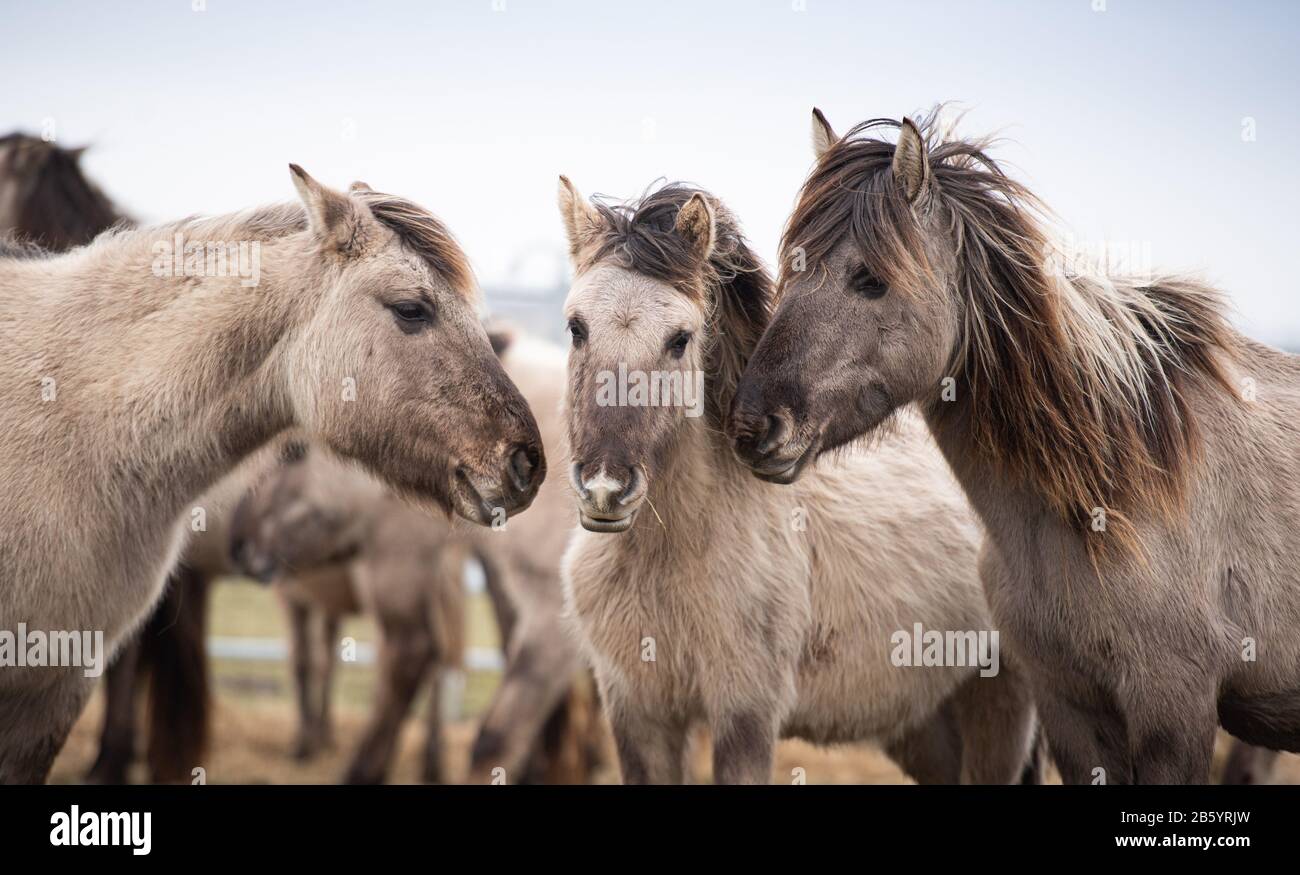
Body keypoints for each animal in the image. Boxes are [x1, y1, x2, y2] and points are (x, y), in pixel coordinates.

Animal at [559, 176, 1034, 785]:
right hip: (922, 725)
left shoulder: (745, 717)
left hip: (1002, 705)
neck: (672, 554)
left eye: (680, 339)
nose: (605, 488)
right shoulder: (638, 714)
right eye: (577, 328)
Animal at [728, 105, 1300, 780]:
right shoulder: (1068, 709)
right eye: (791, 266)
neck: (1109, 494)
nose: (753, 426)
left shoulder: (1173, 714)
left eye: (870, 280)